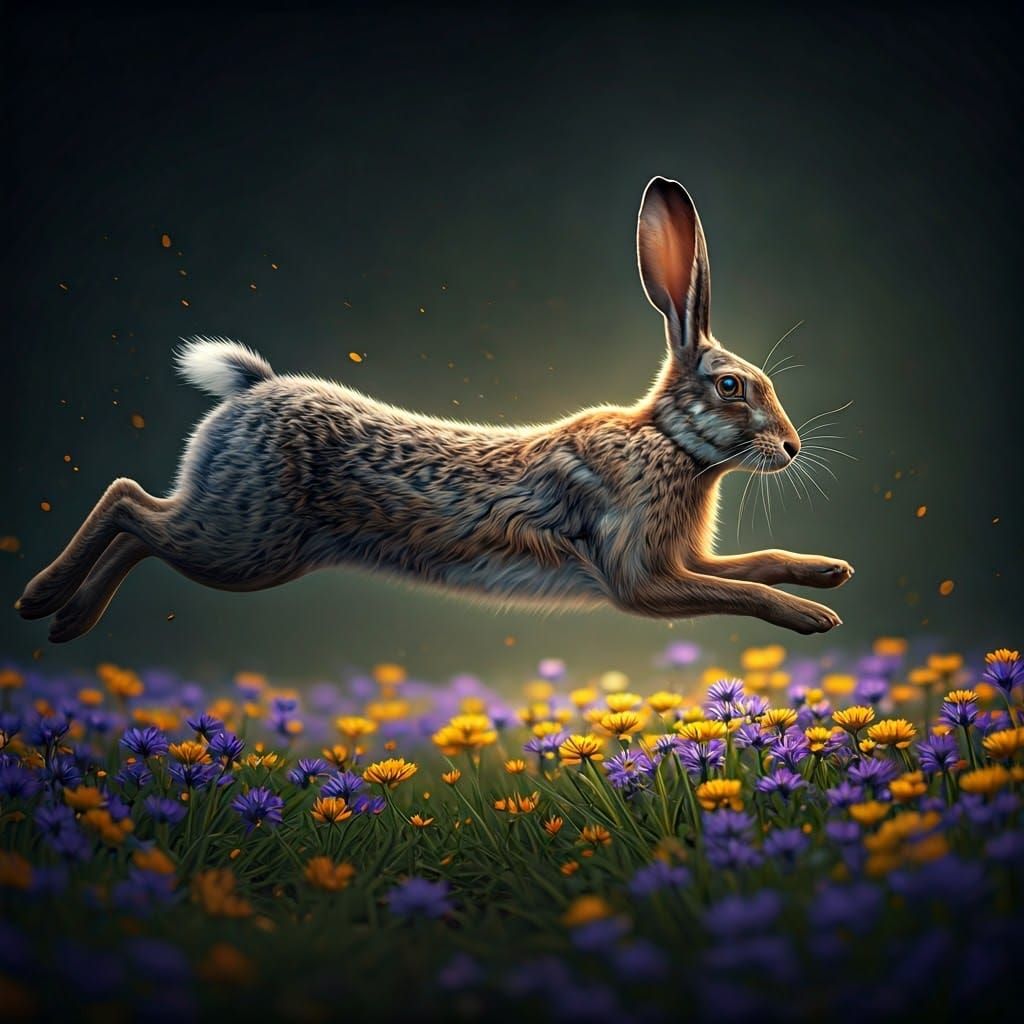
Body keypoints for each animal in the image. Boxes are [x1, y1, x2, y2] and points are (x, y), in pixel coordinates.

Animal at [17, 176, 852, 643]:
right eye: (733, 388)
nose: (792, 449)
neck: (668, 443)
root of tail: (252, 390)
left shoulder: (681, 558)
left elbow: (755, 564)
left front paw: (830, 575)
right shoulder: (638, 576)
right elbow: (736, 590)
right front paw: (814, 619)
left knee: (142, 522)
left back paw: (65, 623)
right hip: (242, 544)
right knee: (131, 504)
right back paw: (42, 600)